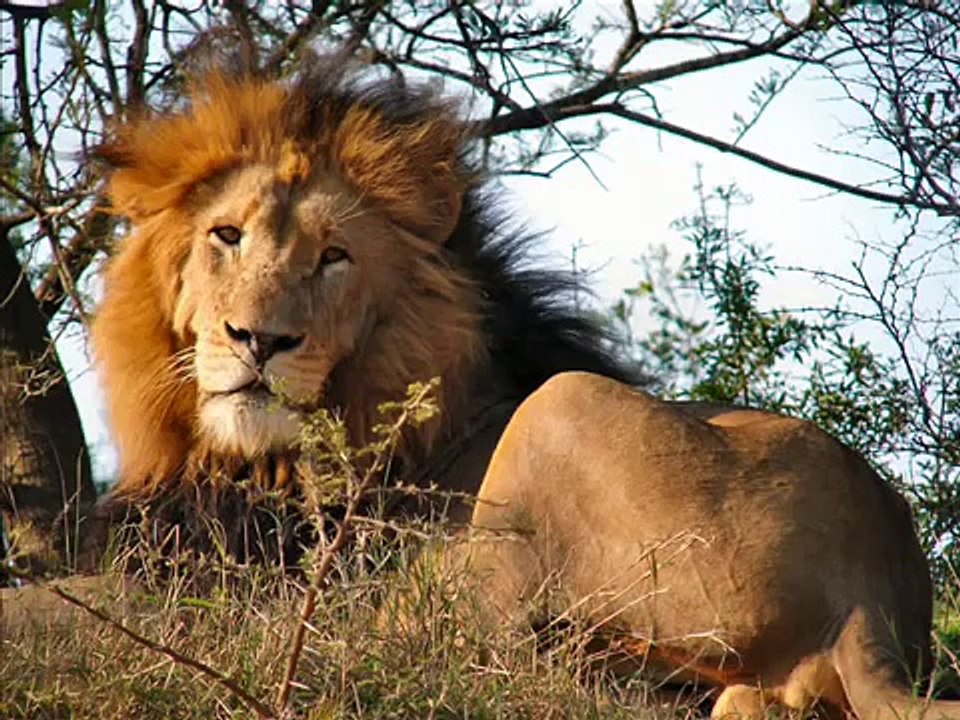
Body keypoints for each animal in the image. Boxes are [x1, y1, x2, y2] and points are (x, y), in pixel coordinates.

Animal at [77, 58, 952, 718]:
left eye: (334, 257)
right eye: (225, 235)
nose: (259, 341)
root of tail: (873, 587)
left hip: (562, 412)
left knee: (489, 652)